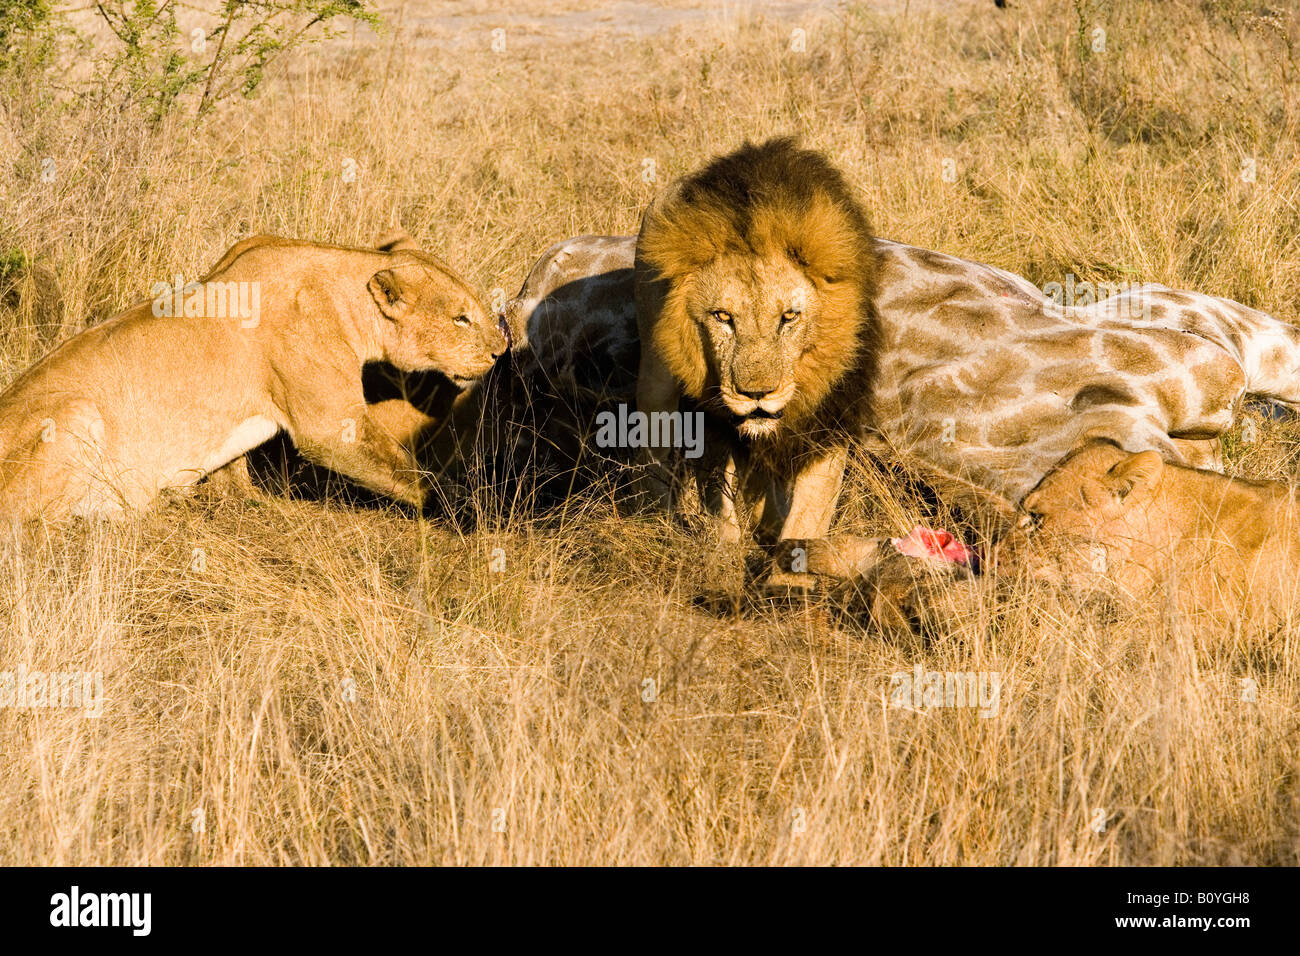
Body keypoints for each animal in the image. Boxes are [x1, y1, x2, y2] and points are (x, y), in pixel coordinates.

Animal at [0, 238, 504, 522]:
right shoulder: (332, 429)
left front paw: (246, 501)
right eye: (461, 318)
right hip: (76, 412)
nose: (501, 351)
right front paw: (474, 508)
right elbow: (413, 473)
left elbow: (233, 474)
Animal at [631, 133, 878, 582]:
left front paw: (786, 582)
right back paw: (657, 525)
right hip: (657, 381)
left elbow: (806, 518)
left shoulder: (829, 417)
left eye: (789, 317)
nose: (757, 394)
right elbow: (719, 497)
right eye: (723, 317)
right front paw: (727, 557)